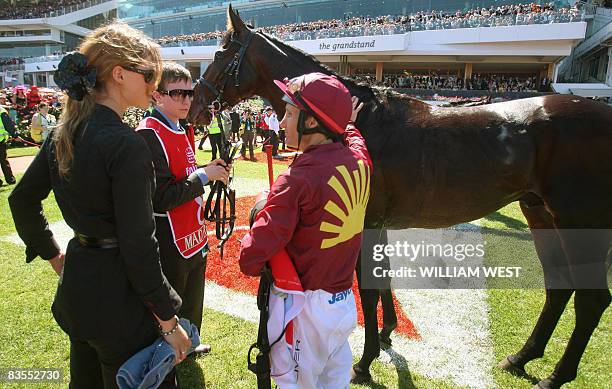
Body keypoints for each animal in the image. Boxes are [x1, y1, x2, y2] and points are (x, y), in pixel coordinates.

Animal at [188, 5, 612, 384]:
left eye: (220, 54)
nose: (195, 109)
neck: (358, 121)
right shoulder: (378, 221)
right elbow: (384, 277)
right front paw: (387, 332)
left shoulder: (363, 219)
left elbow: (369, 287)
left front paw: (364, 361)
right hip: (540, 213)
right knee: (559, 287)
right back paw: (522, 357)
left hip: (580, 220)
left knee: (591, 299)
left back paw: (556, 376)